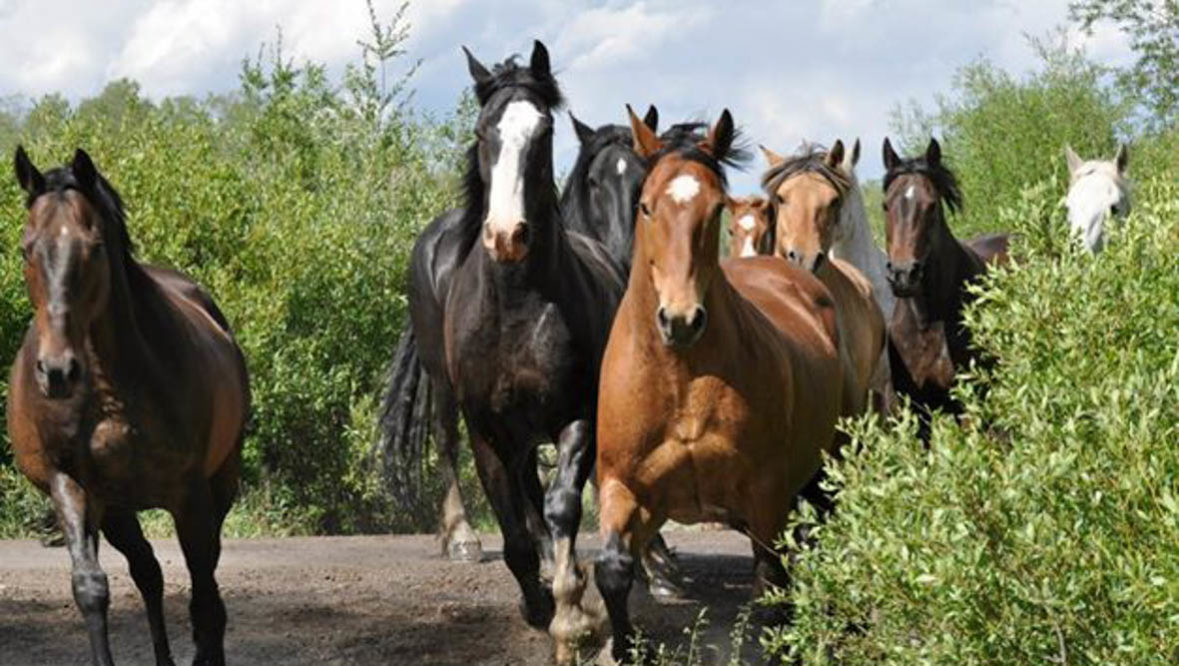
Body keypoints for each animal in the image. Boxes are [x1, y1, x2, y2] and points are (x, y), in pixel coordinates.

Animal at [8, 147, 250, 666]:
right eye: (26, 249)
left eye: (95, 247)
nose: (57, 371)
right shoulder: (71, 484)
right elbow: (91, 589)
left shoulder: (191, 495)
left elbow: (205, 599)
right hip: (117, 509)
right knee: (148, 571)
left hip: (219, 483)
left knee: (204, 586)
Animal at [587, 107, 844, 664]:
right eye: (645, 206)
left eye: (714, 207)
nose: (680, 319)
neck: (680, 378)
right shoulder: (624, 485)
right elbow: (613, 570)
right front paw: (628, 645)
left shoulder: (766, 494)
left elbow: (770, 587)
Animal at [881, 137, 1009, 428]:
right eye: (885, 205)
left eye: (931, 205)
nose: (903, 275)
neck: (927, 322)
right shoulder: (918, 411)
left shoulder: (970, 405)